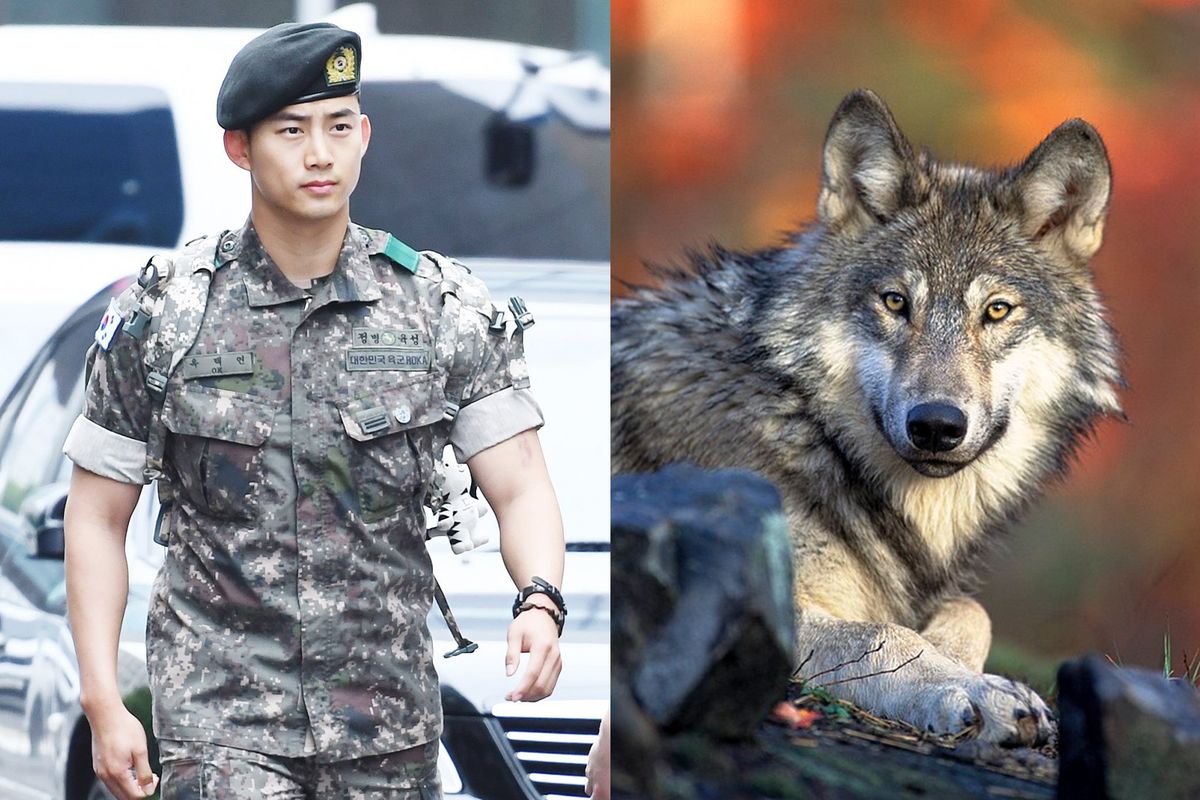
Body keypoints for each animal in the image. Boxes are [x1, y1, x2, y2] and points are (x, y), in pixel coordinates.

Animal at [611, 89, 1122, 746]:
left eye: (996, 311)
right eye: (896, 302)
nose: (936, 425)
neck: (806, 426)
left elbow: (971, 610)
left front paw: (966, 667)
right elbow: (885, 634)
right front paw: (975, 691)